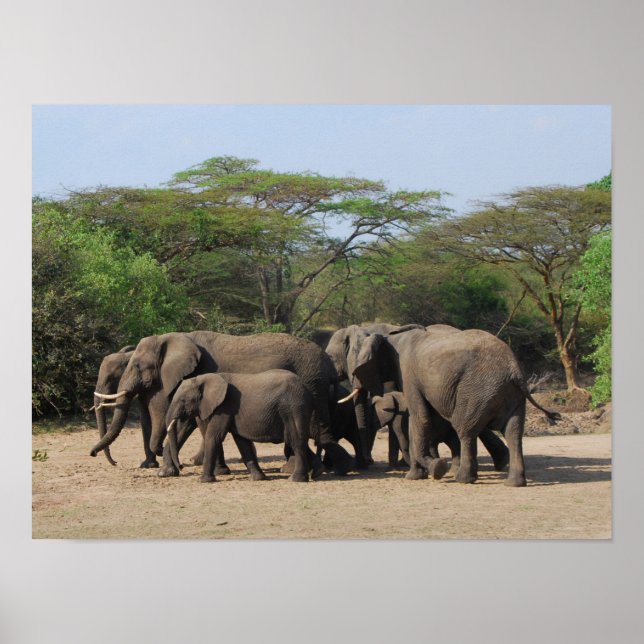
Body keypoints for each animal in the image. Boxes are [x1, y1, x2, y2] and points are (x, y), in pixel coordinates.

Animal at [165, 370, 314, 483]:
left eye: (182, 400)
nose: (182, 466)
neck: (204, 378)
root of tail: (305, 388)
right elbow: (242, 441)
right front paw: (258, 478)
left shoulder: (224, 407)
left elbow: (214, 436)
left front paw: (202, 481)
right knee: (299, 441)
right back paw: (315, 474)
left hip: (293, 408)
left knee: (297, 441)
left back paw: (295, 479)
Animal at [344, 325, 560, 486]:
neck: (391, 335)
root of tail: (515, 370)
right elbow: (426, 418)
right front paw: (424, 472)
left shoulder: (408, 373)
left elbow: (420, 417)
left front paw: (429, 471)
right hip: (509, 395)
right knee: (513, 432)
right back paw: (514, 483)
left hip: (476, 390)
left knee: (465, 429)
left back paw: (463, 479)